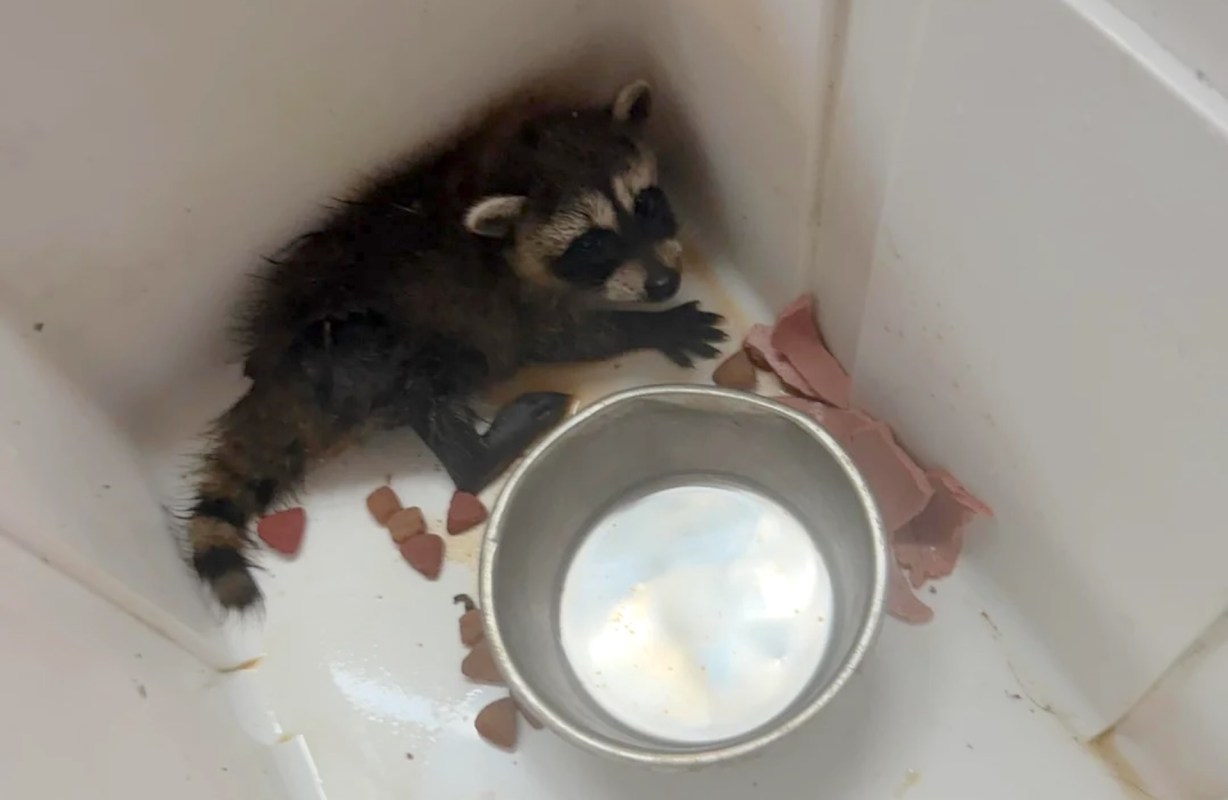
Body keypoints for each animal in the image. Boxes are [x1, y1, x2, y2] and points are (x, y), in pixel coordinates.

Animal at [187, 80, 727, 611]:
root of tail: (278, 384)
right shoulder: (513, 308)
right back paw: (480, 449)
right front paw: (654, 327)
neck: (495, 167)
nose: (664, 284)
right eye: (592, 244)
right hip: (356, 354)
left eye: (648, 204)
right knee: (423, 390)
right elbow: (565, 340)